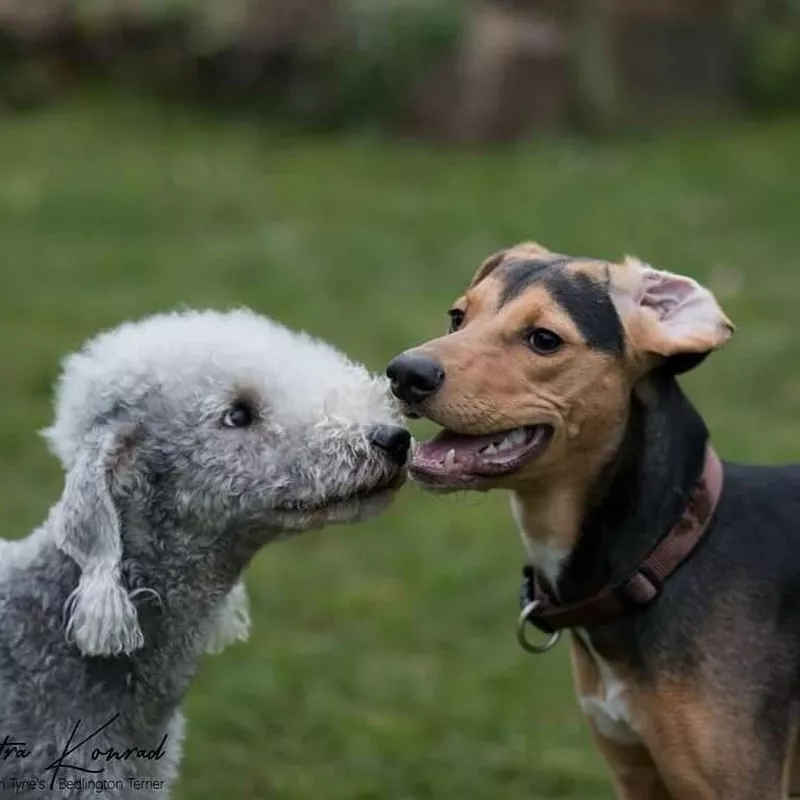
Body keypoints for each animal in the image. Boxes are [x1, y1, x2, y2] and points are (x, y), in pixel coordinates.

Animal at [386, 242, 800, 800]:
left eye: (543, 339)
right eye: (457, 317)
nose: (403, 373)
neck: (664, 550)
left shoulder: (739, 785)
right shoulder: (635, 772)